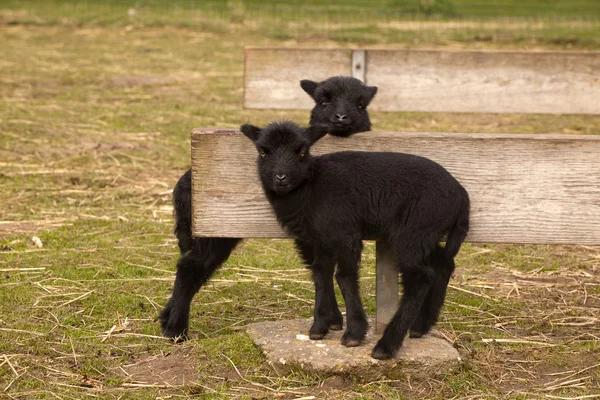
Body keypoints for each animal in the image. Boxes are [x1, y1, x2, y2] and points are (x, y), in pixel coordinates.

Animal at [159, 76, 376, 340]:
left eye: (361, 105)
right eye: (323, 101)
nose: (341, 117)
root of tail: (181, 187)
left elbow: (322, 268)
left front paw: (331, 320)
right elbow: (319, 268)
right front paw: (330, 319)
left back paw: (167, 317)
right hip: (214, 228)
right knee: (189, 267)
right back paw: (176, 330)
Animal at [239, 119, 468, 360]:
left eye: (301, 152)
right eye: (263, 152)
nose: (281, 177)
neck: (311, 186)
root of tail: (461, 195)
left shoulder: (345, 232)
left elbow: (344, 277)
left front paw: (354, 333)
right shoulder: (320, 238)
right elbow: (320, 273)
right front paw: (320, 326)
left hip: (414, 231)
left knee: (421, 277)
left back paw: (386, 345)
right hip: (426, 234)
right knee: (443, 264)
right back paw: (420, 327)